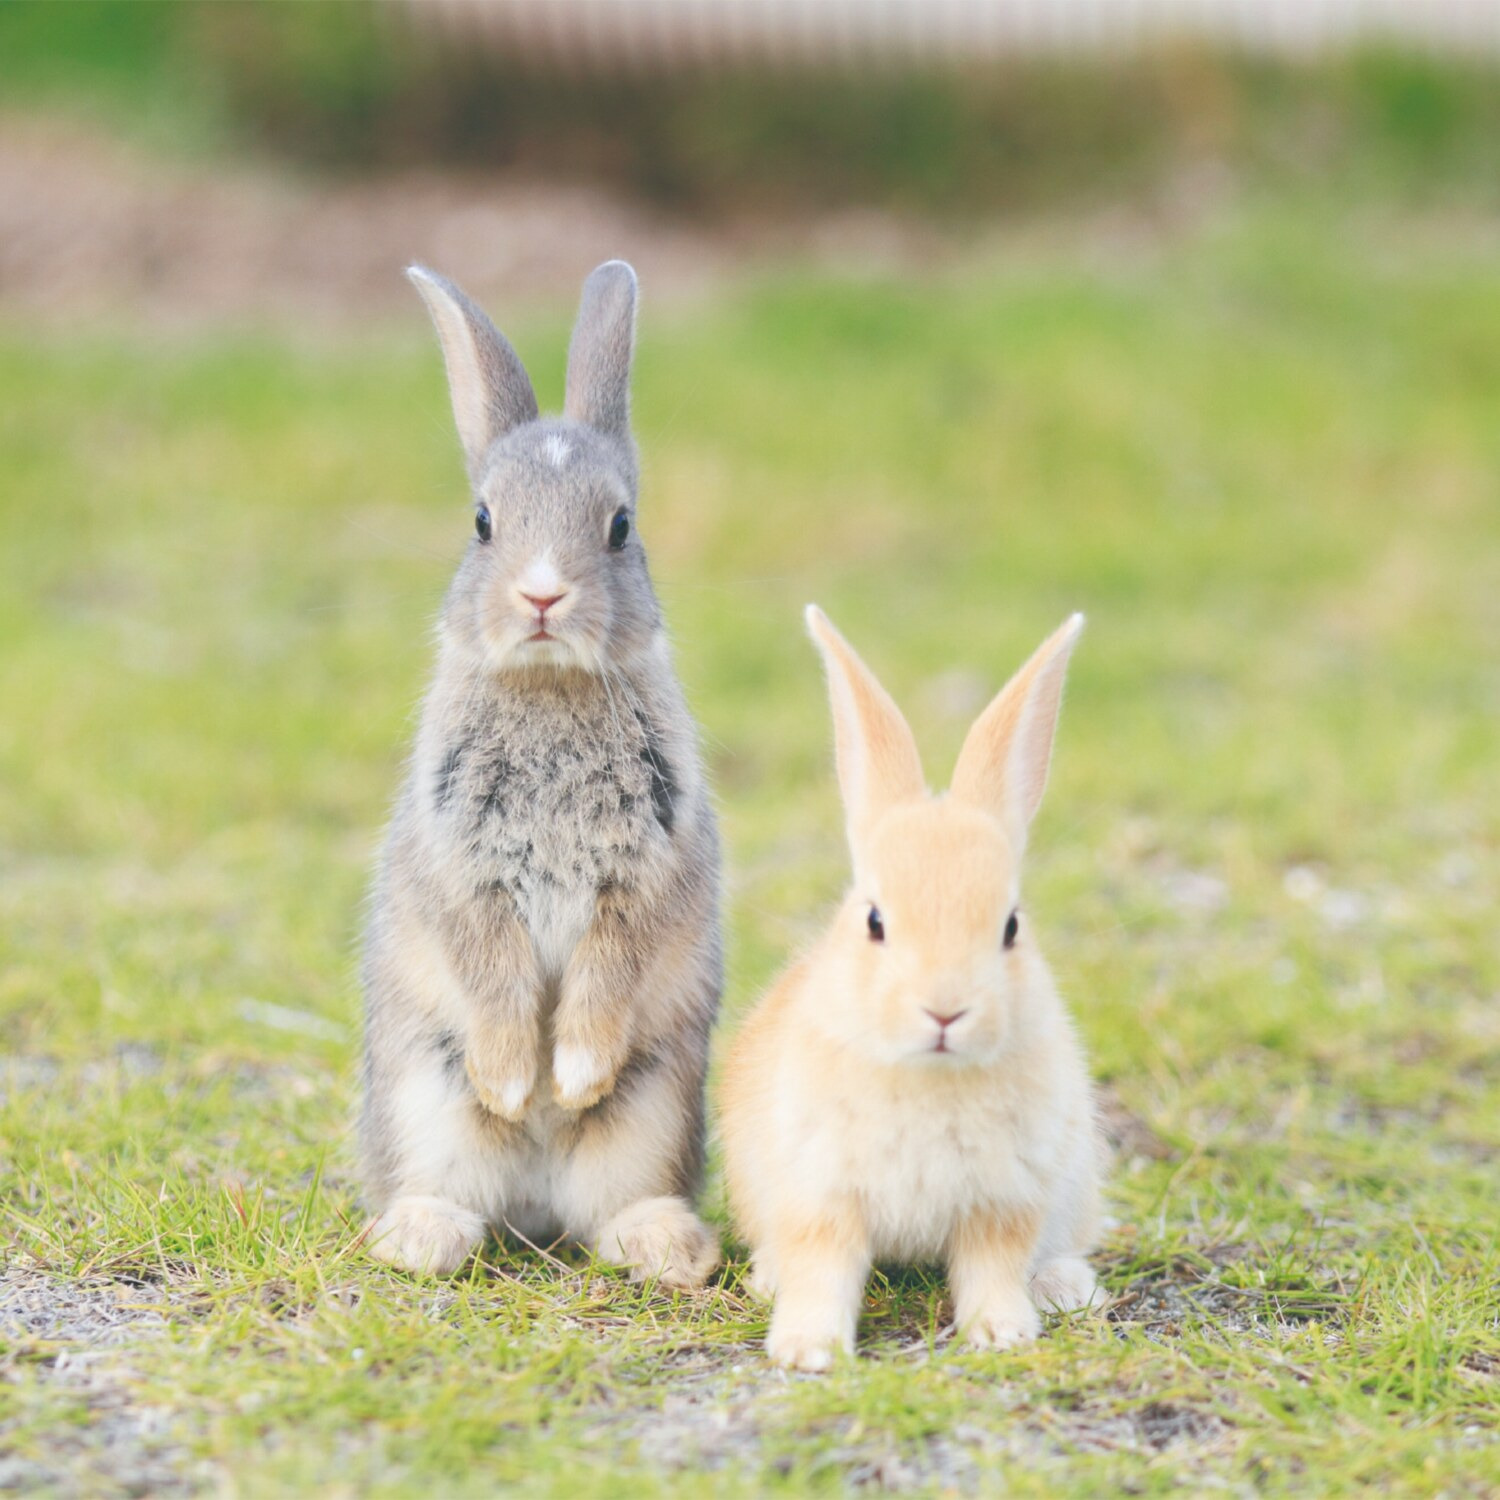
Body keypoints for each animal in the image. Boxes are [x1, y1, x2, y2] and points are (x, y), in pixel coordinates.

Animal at [357, 261, 720, 1290]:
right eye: (483, 523)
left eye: (621, 526)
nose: (543, 594)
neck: (551, 687)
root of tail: (536, 1210)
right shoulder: (465, 869)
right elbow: (489, 968)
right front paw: (518, 1082)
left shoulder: (643, 873)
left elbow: (609, 971)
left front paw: (575, 1076)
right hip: (424, 1099)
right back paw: (421, 1237)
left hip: (657, 1107)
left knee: (614, 1207)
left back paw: (671, 1249)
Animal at [720, 606, 1110, 1374]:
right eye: (875, 921)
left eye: (1010, 926)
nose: (945, 1010)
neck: (929, 1073)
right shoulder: (821, 1194)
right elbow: (823, 1268)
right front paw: (807, 1350)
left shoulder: (1004, 1200)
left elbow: (993, 1267)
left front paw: (1003, 1332)